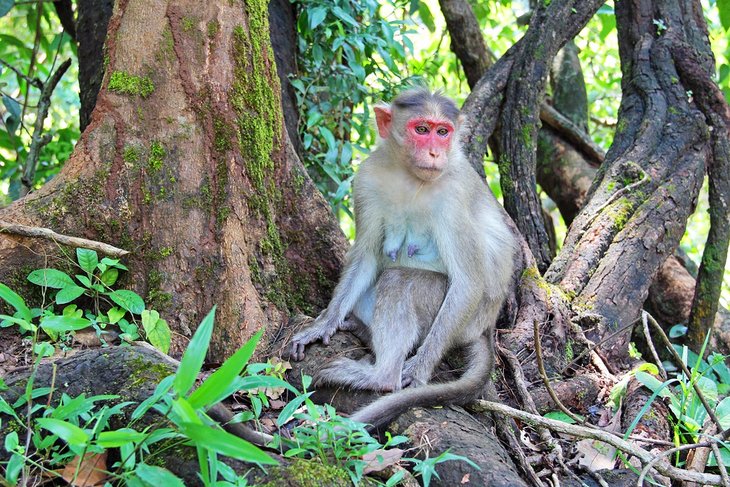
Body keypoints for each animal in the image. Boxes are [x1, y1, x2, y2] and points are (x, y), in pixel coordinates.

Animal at [288, 88, 516, 430]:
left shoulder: (454, 195)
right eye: (421, 129)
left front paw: (419, 369)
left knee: (399, 280)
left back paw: (381, 376)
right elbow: (367, 255)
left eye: (443, 132)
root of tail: (486, 326)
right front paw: (323, 323)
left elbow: (468, 282)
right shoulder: (366, 178)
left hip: (464, 319)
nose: (435, 153)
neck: (411, 176)